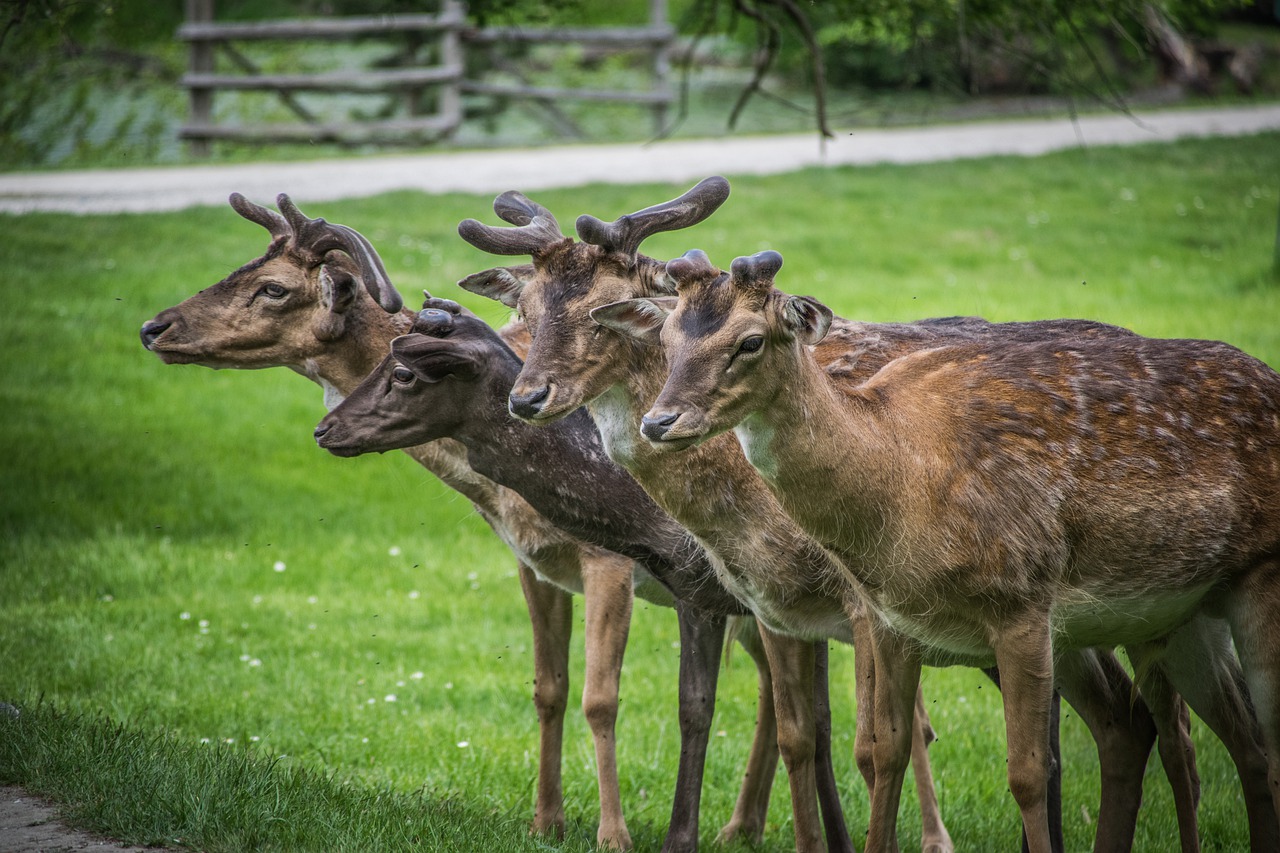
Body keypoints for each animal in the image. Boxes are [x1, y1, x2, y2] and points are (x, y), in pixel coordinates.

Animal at [140, 192, 798, 850]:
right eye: (244, 265)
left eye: (273, 287)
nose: (154, 327)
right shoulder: (535, 560)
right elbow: (550, 688)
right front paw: (546, 821)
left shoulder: (613, 562)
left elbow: (602, 698)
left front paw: (614, 835)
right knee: (772, 687)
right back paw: (742, 825)